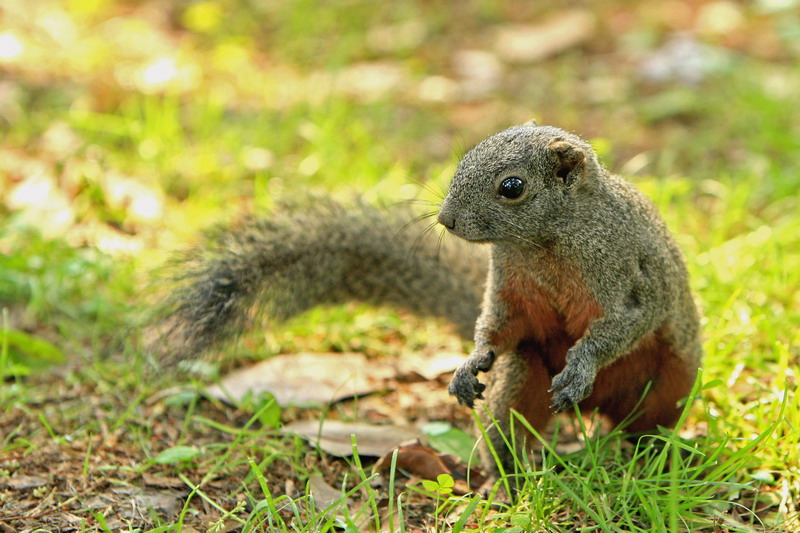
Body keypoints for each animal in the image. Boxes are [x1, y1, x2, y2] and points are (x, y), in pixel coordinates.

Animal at [155, 123, 700, 474]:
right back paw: (505, 480)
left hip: (670, 383)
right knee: (508, 425)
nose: (446, 220)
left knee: (647, 424)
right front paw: (469, 362)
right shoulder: (509, 285)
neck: (544, 243)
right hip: (522, 378)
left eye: (512, 187)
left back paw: (654, 456)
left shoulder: (624, 271)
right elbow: (498, 326)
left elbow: (624, 322)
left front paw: (582, 364)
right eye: (463, 160)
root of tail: (595, 414)